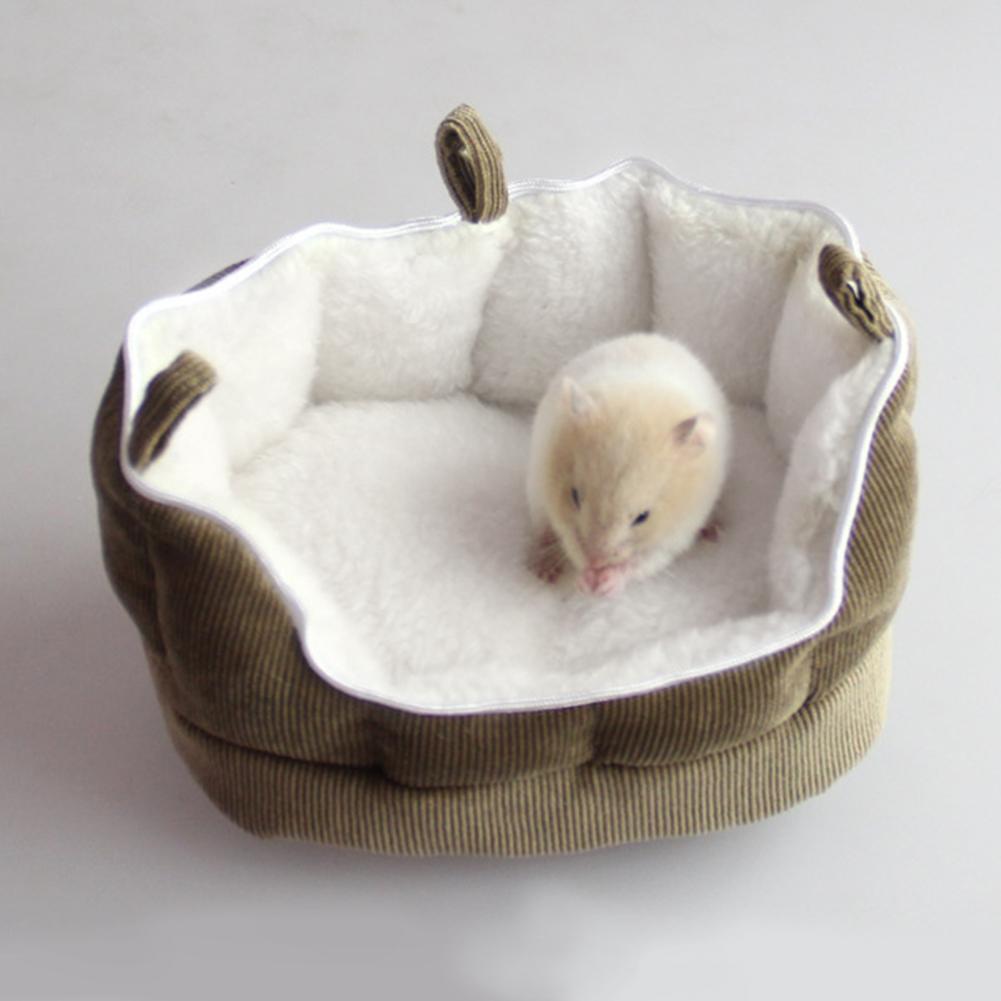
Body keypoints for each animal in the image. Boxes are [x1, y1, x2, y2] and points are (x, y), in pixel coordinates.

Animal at [526, 333, 731, 597]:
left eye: (643, 517)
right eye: (574, 496)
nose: (596, 562)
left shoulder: (673, 537)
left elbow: (640, 562)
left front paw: (603, 583)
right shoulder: (556, 506)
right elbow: (569, 540)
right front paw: (585, 580)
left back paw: (714, 531)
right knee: (544, 532)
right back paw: (544, 570)